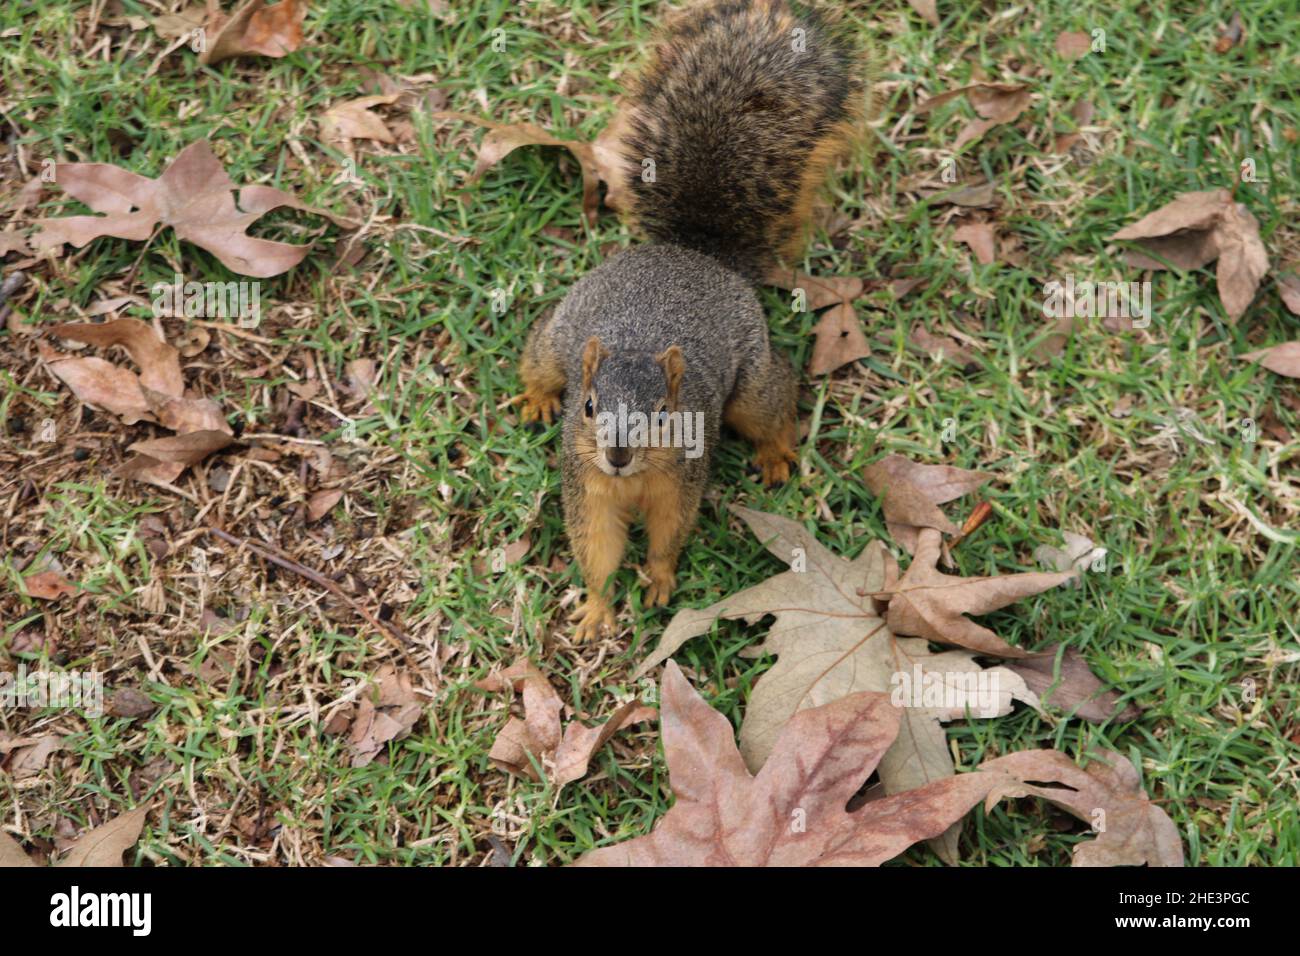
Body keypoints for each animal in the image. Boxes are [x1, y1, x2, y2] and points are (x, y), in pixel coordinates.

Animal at [517, 1, 863, 642]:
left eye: (663, 413)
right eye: (589, 407)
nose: (617, 454)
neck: (630, 480)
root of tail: (696, 253)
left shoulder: (682, 479)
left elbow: (670, 532)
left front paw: (657, 580)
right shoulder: (586, 484)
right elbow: (596, 545)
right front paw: (597, 608)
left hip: (750, 384)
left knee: (774, 399)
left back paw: (776, 454)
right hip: (558, 337)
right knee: (540, 358)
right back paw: (536, 397)